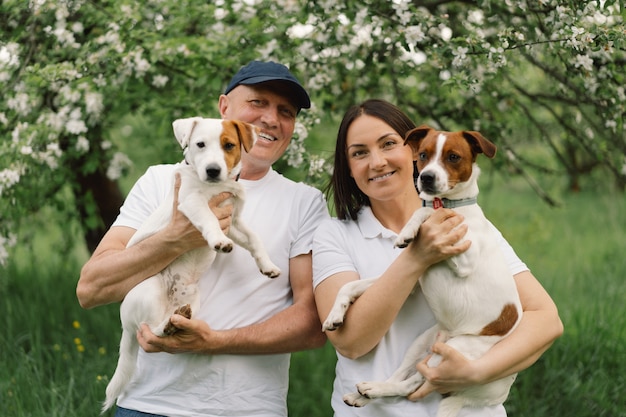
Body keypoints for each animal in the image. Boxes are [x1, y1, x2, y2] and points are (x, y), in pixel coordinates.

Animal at [103, 115, 280, 412]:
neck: (215, 187)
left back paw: (178, 320)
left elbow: (255, 239)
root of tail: (126, 325)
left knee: (171, 320)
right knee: (151, 329)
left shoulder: (234, 222)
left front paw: (267, 265)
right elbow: (208, 219)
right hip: (150, 290)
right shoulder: (192, 203)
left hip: (193, 298)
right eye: (200, 144)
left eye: (229, 145)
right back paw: (164, 326)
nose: (212, 170)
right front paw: (218, 241)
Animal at [322, 125, 520, 416]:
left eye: (453, 157)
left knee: (411, 384)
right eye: (424, 155)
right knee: (402, 375)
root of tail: (493, 393)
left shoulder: (465, 258)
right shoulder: (412, 281)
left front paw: (409, 230)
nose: (426, 178)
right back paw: (364, 393)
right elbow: (351, 286)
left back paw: (373, 390)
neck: (452, 205)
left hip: (456, 352)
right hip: (423, 342)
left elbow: (427, 214)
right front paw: (335, 314)